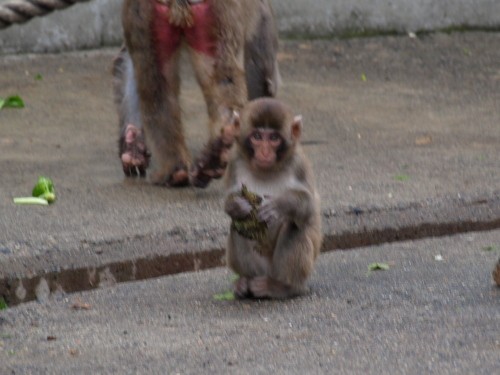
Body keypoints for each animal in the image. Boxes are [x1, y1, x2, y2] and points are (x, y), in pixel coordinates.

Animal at [225, 97, 322, 300]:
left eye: (274, 138)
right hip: (261, 267)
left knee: (294, 228)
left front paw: (279, 206)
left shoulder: (299, 162)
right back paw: (246, 282)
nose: (264, 152)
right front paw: (237, 206)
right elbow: (230, 196)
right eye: (257, 136)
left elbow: (308, 206)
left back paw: (284, 287)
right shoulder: (234, 159)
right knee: (237, 226)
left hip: (286, 271)